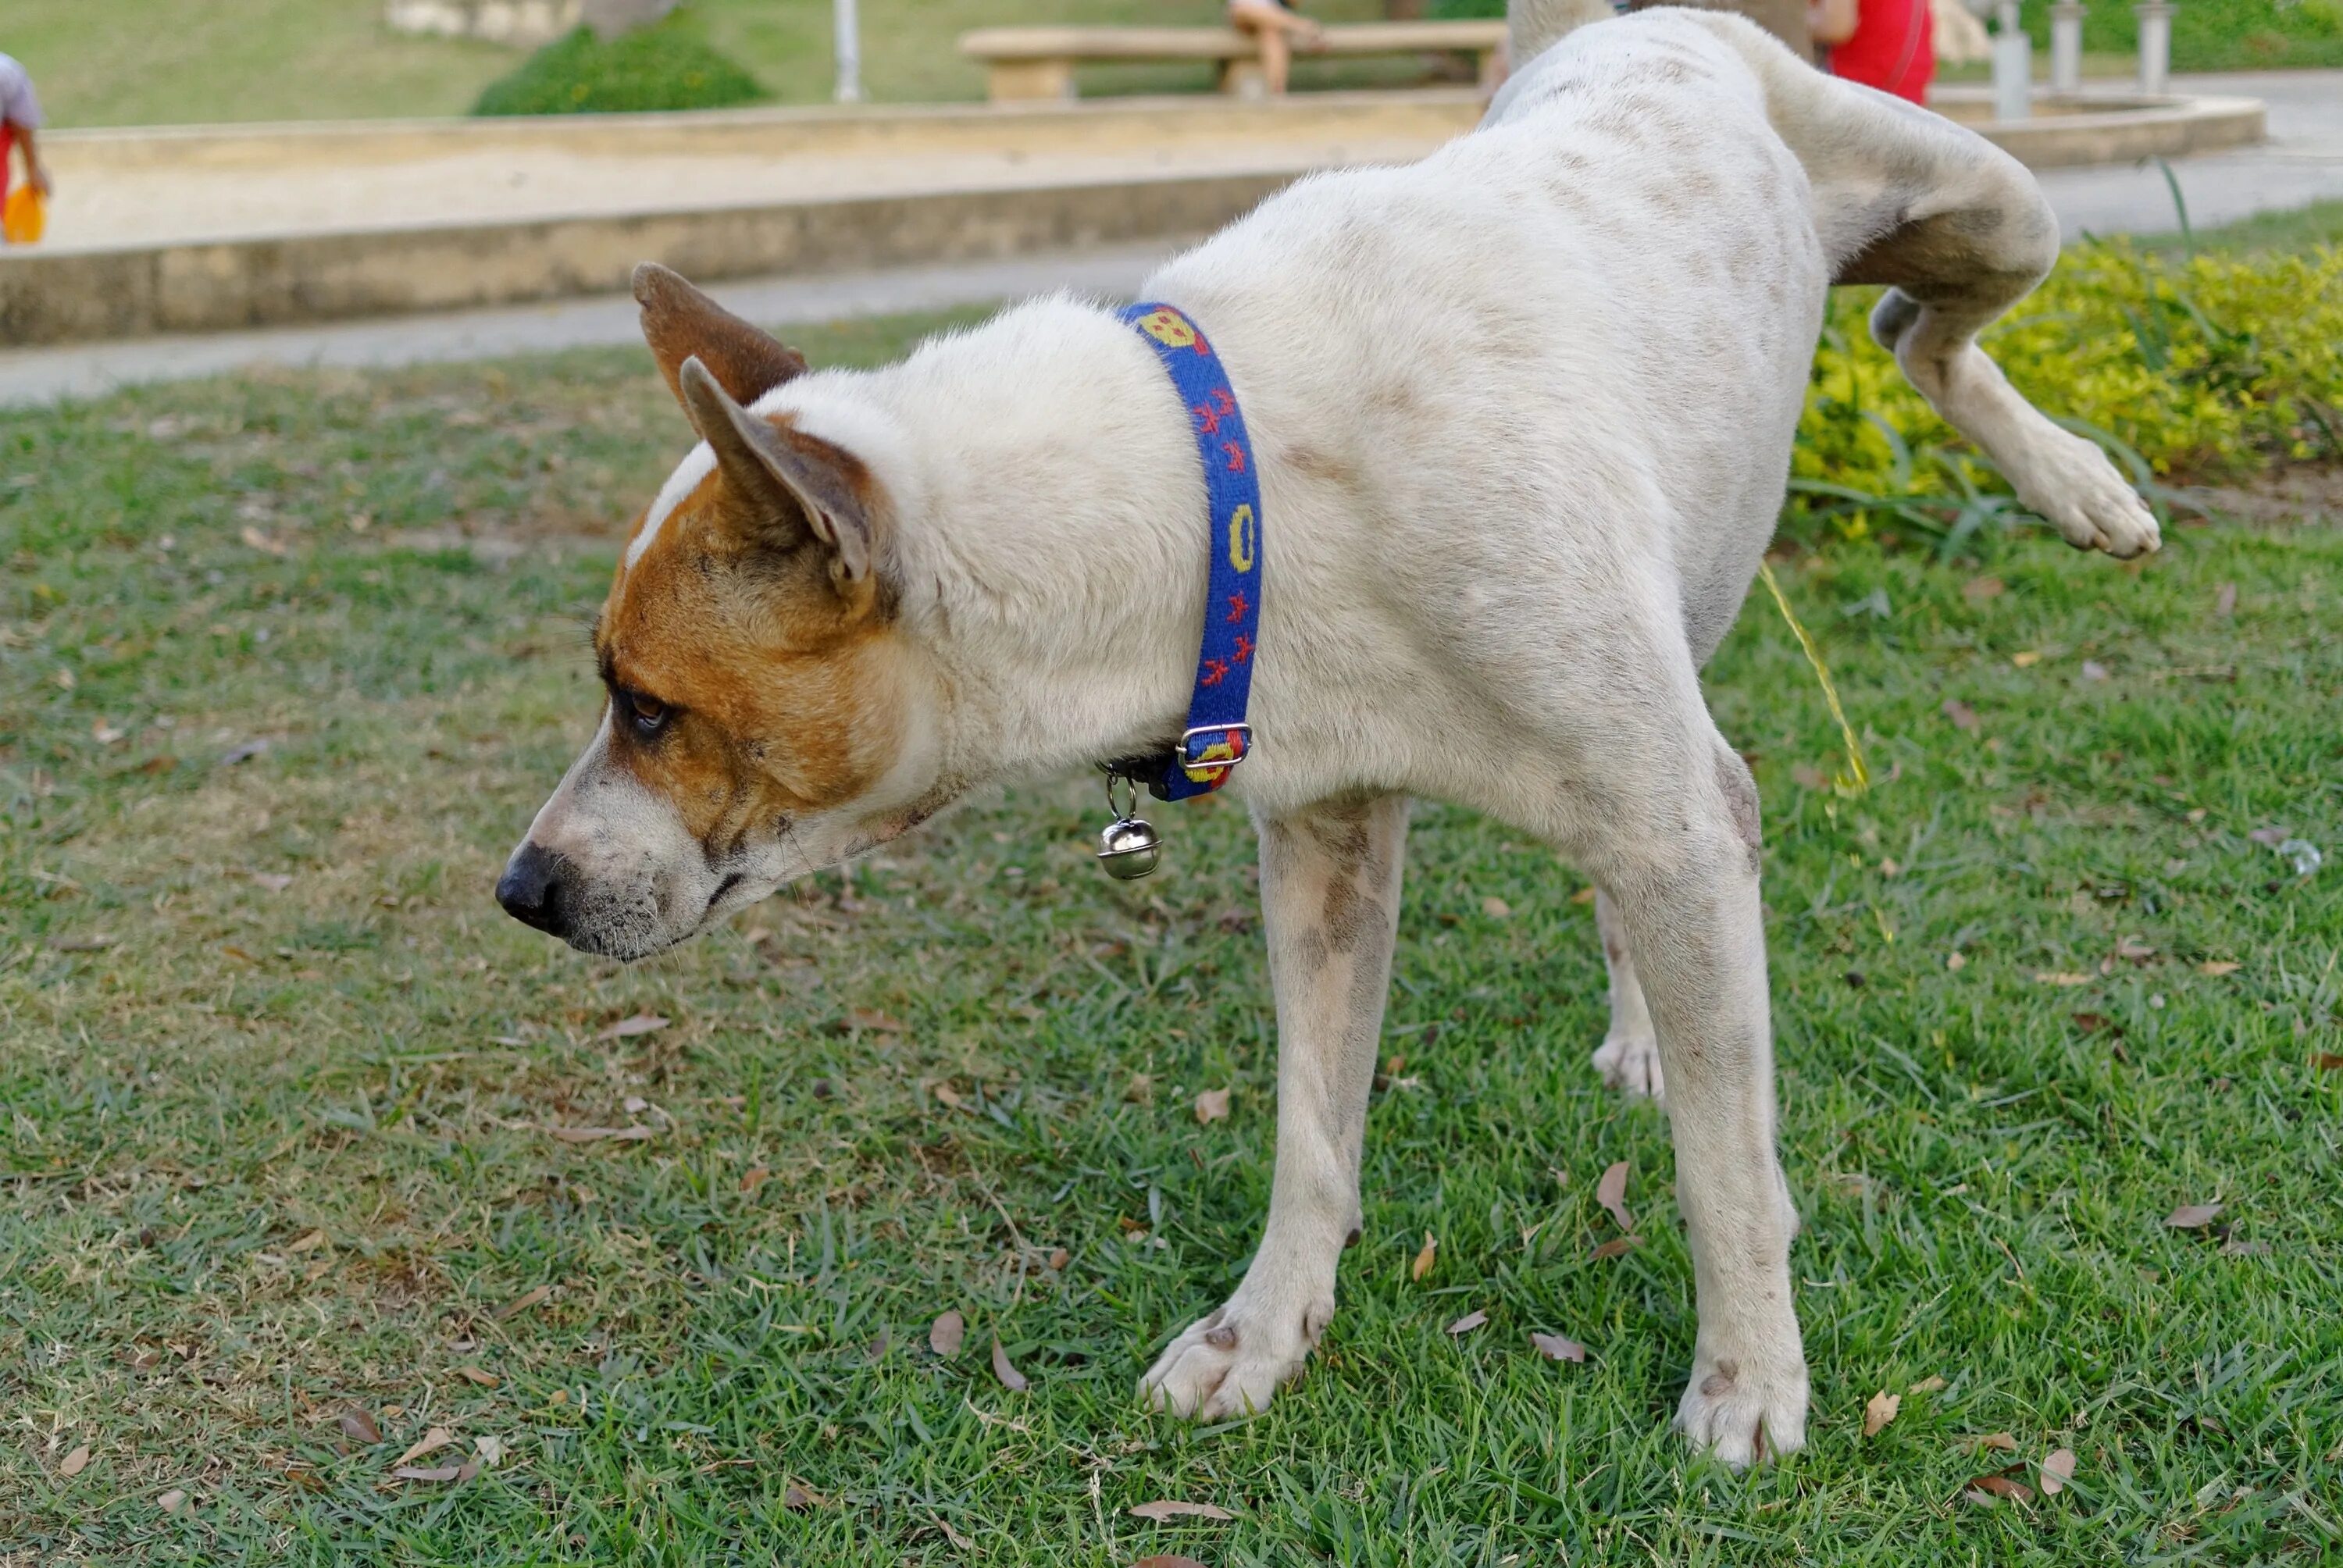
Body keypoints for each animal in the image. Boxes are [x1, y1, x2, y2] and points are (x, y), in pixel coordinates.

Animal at [494, 2, 2156, 1471]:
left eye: (649, 704)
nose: (521, 887)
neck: (1231, 484)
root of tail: (1630, 24)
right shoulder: (1330, 838)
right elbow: (1310, 1127)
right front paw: (1263, 1328)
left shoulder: (1668, 812)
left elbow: (1729, 1171)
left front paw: (1749, 1375)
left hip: (1992, 211)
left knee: (1913, 327)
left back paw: (2079, 482)